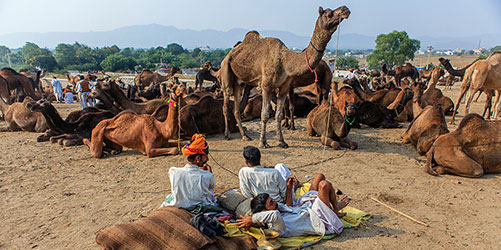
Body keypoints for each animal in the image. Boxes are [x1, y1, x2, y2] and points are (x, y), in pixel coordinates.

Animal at [221, 5, 350, 147]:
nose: (345, 9)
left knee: (236, 108)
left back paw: (245, 136)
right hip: (226, 71)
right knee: (226, 104)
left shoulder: (284, 87)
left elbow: (278, 114)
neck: (286, 61)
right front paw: (263, 143)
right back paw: (227, 135)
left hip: (239, 83)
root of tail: (229, 55)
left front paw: (282, 141)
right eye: (329, 14)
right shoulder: (266, 86)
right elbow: (265, 115)